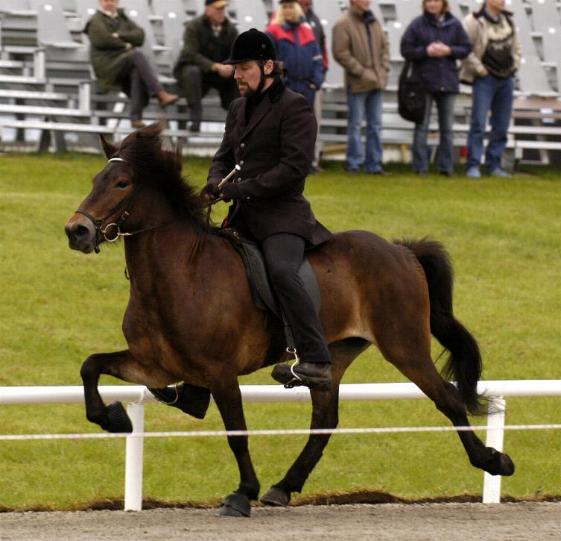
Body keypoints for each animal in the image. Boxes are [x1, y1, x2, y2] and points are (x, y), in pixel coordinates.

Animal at [64, 124, 512, 516]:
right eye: (95, 178)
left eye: (122, 183)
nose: (77, 231)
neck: (178, 273)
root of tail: (402, 251)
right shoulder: (154, 366)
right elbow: (90, 366)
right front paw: (115, 418)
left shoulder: (220, 372)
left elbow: (237, 433)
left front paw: (242, 493)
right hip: (335, 353)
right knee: (325, 420)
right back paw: (284, 486)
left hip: (404, 345)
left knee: (447, 399)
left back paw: (494, 461)